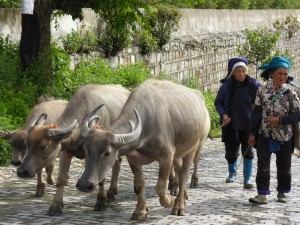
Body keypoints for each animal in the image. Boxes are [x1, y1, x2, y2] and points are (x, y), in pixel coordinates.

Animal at [15, 83, 129, 215]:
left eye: (43, 146)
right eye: (27, 144)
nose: (22, 171)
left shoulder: (102, 153)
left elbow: (101, 179)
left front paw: (101, 202)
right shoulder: (66, 151)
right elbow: (61, 179)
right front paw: (56, 205)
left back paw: (110, 193)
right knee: (117, 162)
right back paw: (112, 192)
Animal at [76, 78, 210, 220]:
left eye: (107, 153)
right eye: (86, 149)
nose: (84, 184)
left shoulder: (166, 156)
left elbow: (161, 187)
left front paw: (170, 201)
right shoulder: (133, 159)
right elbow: (140, 184)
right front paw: (140, 211)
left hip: (192, 148)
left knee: (184, 174)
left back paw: (179, 206)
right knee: (179, 170)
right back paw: (183, 195)